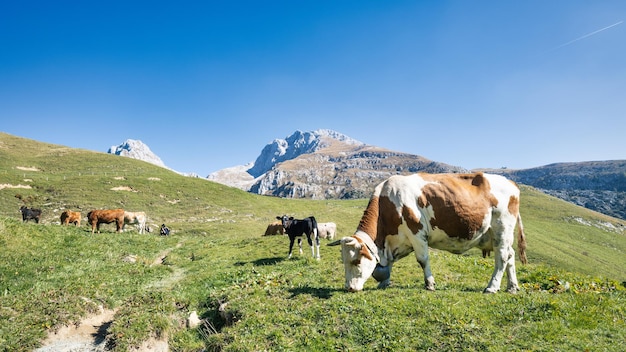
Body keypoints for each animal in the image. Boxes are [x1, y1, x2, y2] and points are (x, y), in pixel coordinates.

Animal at [330, 172, 524, 292]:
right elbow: (384, 268)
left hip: (502, 228)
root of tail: (511, 183)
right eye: (343, 260)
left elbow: (422, 260)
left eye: (356, 261)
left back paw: (492, 287)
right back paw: (512, 287)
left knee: (502, 257)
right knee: (511, 255)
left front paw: (430, 284)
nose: (349, 287)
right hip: (497, 235)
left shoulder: (416, 232)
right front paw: (384, 283)